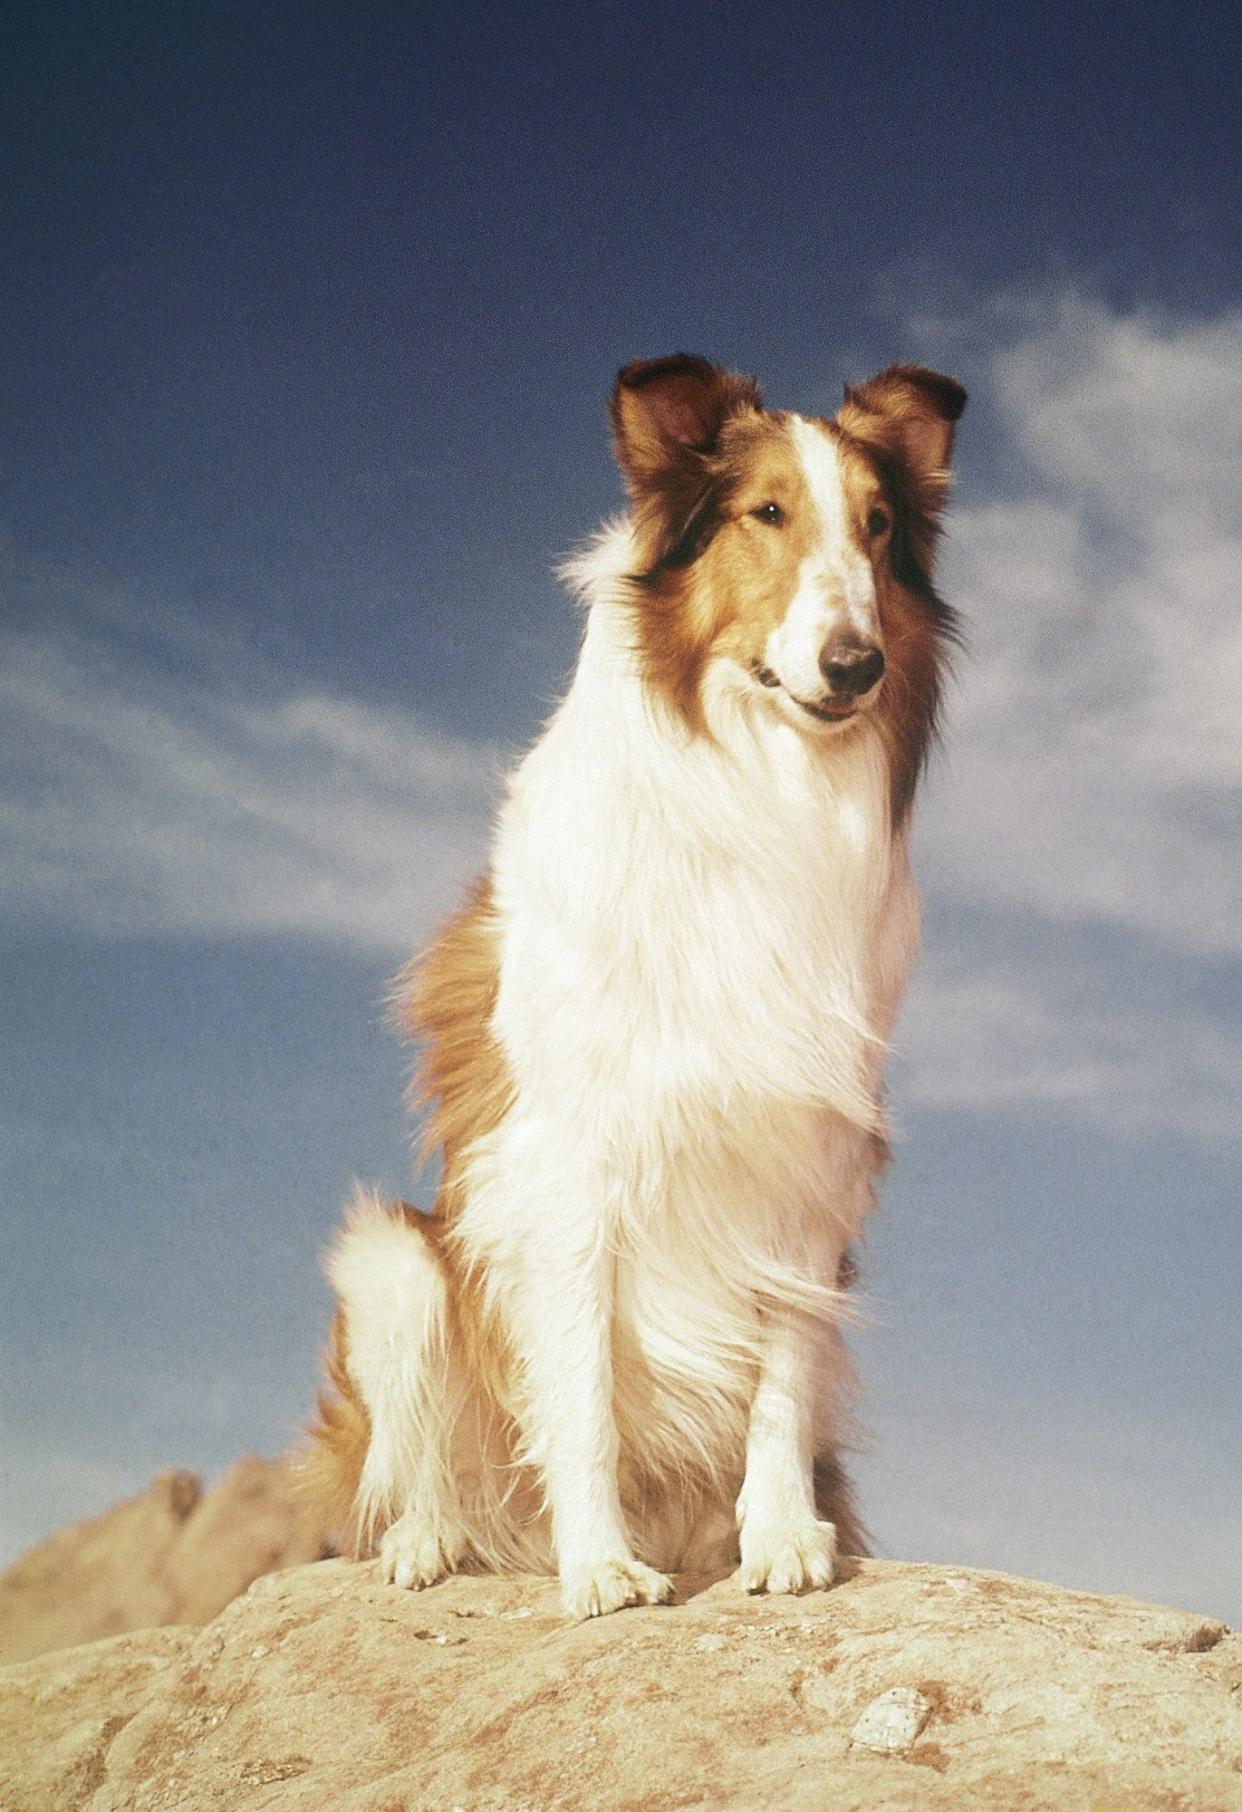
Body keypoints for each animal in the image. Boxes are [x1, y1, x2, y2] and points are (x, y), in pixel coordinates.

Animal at [304, 349, 964, 1616]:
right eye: (766, 514)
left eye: (877, 526)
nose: (857, 666)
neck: (761, 791)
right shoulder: (570, 1160)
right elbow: (584, 1395)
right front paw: (600, 1565)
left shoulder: (807, 1156)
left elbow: (780, 1375)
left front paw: (784, 1539)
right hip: (396, 1263)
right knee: (420, 1462)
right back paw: (433, 1540)